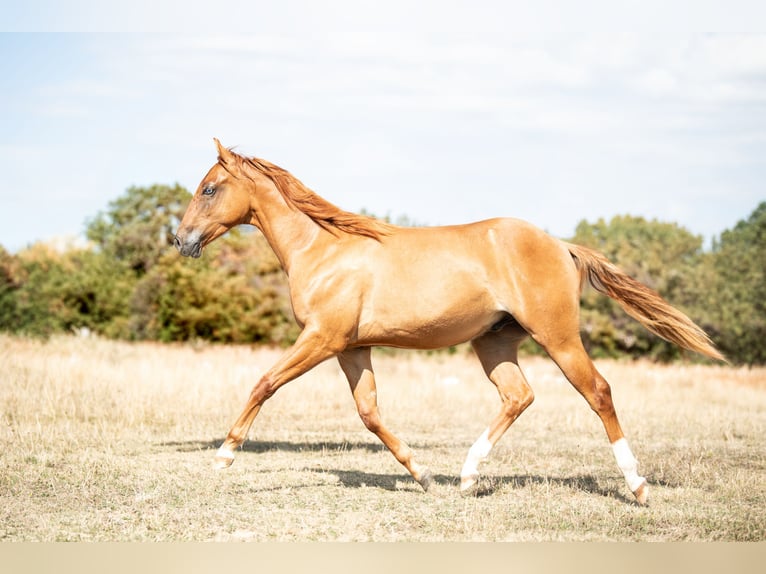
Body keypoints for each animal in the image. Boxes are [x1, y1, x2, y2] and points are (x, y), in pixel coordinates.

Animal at [174, 138, 724, 505]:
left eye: (209, 189)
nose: (180, 239)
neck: (323, 249)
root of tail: (562, 245)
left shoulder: (321, 339)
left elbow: (265, 383)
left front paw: (224, 454)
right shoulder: (351, 348)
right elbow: (369, 413)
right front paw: (421, 474)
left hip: (559, 338)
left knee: (599, 392)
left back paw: (638, 486)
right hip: (495, 343)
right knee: (518, 396)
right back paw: (466, 476)